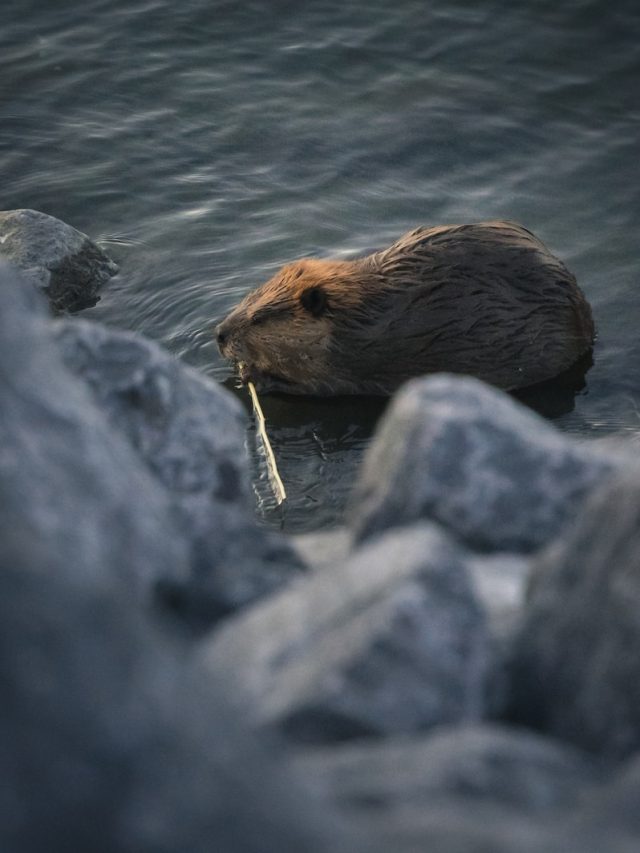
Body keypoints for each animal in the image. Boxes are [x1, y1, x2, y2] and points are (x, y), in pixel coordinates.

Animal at [215, 218, 596, 394]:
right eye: (250, 298)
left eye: (259, 317)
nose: (219, 333)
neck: (358, 316)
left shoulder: (352, 360)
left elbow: (319, 387)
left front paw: (251, 375)